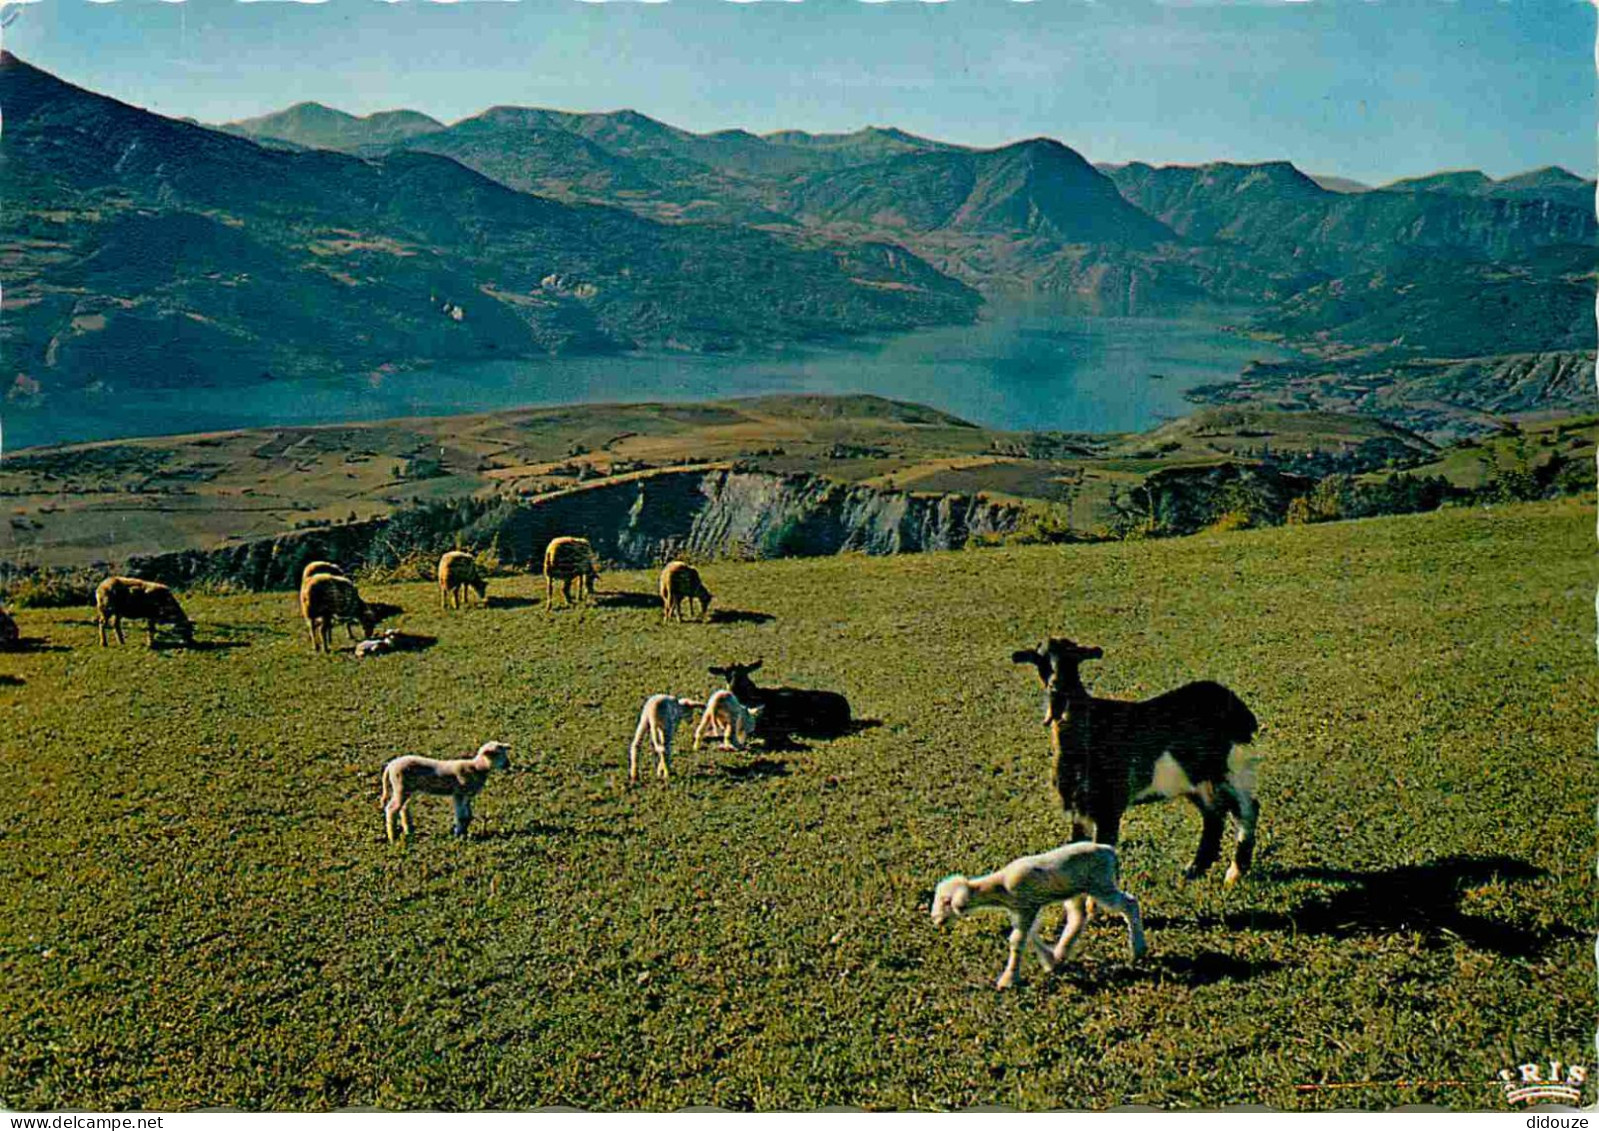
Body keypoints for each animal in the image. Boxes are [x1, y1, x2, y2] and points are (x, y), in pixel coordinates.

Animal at [377, 742, 508, 838]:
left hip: (407, 789)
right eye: (496, 754)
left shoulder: (466, 795)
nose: (508, 764)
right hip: (401, 787)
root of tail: (390, 765)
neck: (476, 767)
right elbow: (461, 815)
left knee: (403, 808)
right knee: (392, 809)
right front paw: (459, 834)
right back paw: (392, 837)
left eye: (505, 754)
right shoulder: (459, 793)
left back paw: (408, 831)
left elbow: (468, 815)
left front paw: (464, 832)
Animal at [933, 838, 1144, 991]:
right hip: (1077, 890)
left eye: (946, 901)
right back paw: (1061, 952)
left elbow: (1017, 940)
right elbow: (1029, 936)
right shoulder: (1022, 910)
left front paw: (1008, 979)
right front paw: (1049, 960)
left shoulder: (1027, 906)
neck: (1001, 888)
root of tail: (1109, 850)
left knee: (1130, 904)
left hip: (1102, 884)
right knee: (1078, 917)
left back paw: (1138, 949)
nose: (936, 920)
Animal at [1010, 636, 1260, 883]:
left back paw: (1234, 872)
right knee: (1214, 814)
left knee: (1246, 809)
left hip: (1228, 770)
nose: (1057, 686)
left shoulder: (1109, 806)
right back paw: (1195, 869)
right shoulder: (1078, 809)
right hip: (1196, 780)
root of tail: (1240, 710)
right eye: (1040, 660)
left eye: (1073, 658)